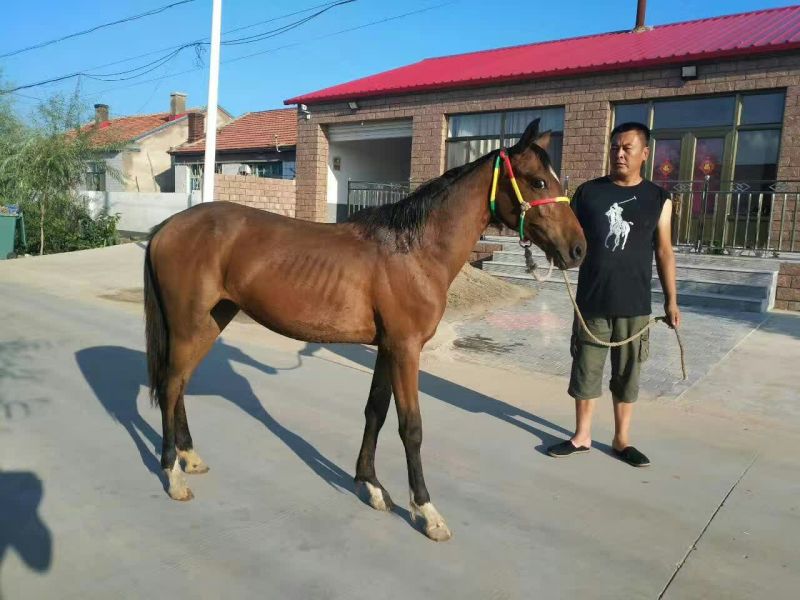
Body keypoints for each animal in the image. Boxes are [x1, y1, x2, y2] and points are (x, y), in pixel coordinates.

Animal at [143, 119, 586, 541]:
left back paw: (189, 458)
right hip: (188, 323)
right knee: (170, 385)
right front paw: (426, 512)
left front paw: (370, 486)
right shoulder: (406, 349)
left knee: (179, 384)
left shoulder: (388, 348)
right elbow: (411, 427)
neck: (414, 250)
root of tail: (167, 226)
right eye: (538, 181)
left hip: (211, 320)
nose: (578, 250)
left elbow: (375, 411)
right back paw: (173, 474)